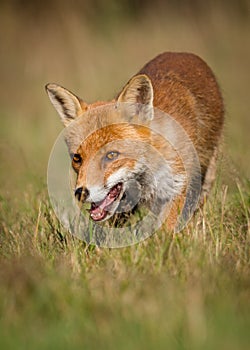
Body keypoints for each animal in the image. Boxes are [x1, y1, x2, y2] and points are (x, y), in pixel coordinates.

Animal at [46, 52, 224, 231]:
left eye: (111, 155)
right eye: (77, 158)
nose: (81, 193)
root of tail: (181, 54)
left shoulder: (178, 185)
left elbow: (166, 230)